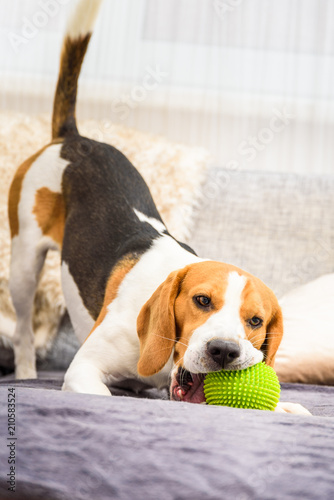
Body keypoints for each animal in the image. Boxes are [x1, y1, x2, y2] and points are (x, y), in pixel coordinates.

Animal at [7, 0, 310, 414]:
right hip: (23, 263)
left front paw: (288, 407)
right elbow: (98, 391)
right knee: (22, 331)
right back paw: (25, 369)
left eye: (255, 321)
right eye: (202, 301)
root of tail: (74, 140)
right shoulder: (84, 367)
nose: (224, 350)